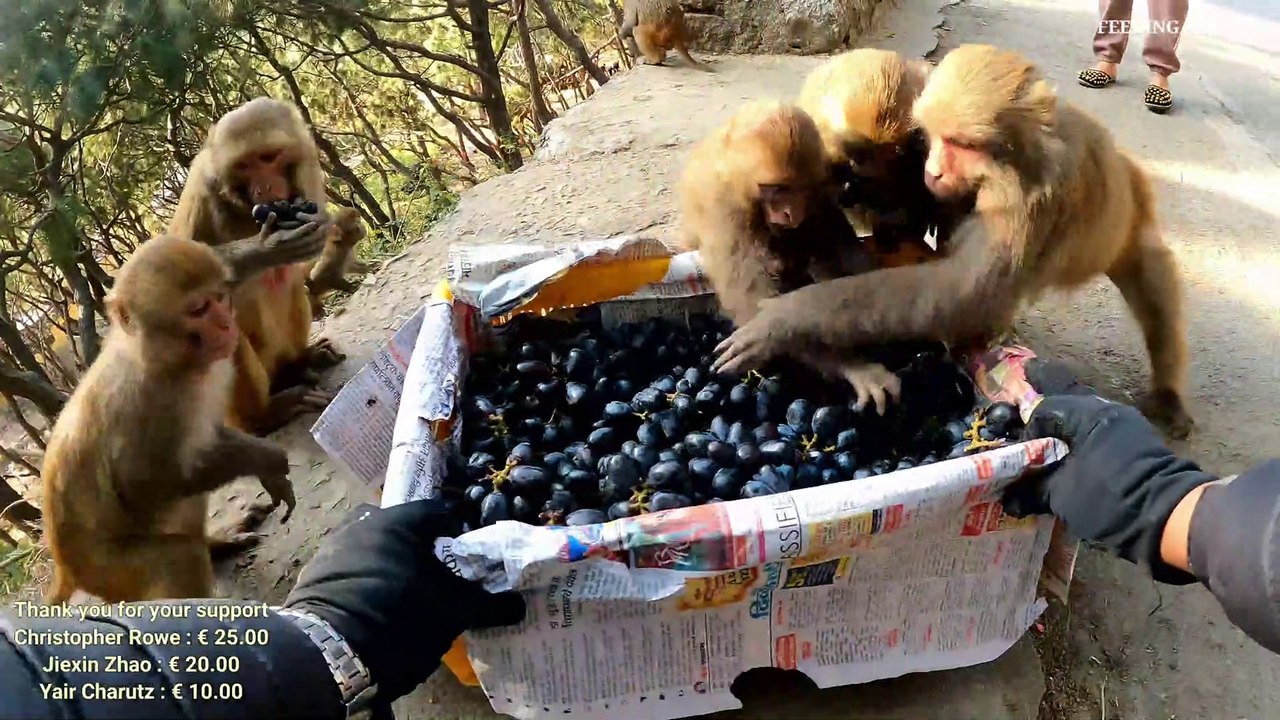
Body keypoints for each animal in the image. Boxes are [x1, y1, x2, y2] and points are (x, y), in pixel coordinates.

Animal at [41, 236, 298, 604]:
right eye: (198, 309)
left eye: (219, 297)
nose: (227, 324)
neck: (170, 365)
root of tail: (66, 566)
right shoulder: (145, 404)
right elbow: (155, 485)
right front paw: (269, 460)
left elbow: (211, 437)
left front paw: (269, 471)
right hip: (111, 570)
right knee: (178, 556)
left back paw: (215, 544)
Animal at [169, 97, 359, 435]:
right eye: (244, 166)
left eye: (268, 158)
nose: (264, 188)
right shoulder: (200, 189)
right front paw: (265, 249)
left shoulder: (310, 170)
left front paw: (322, 225)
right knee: (221, 326)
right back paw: (264, 414)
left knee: (292, 286)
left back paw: (299, 363)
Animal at [677, 100, 900, 413]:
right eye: (776, 189)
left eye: (798, 188)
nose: (789, 213)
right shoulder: (726, 211)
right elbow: (753, 301)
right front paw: (852, 364)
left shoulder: (820, 179)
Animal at [712, 44, 1194, 438]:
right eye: (937, 139)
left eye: (960, 143)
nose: (935, 169)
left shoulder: (1024, 201)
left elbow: (959, 292)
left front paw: (786, 317)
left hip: (1130, 221)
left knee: (1152, 287)